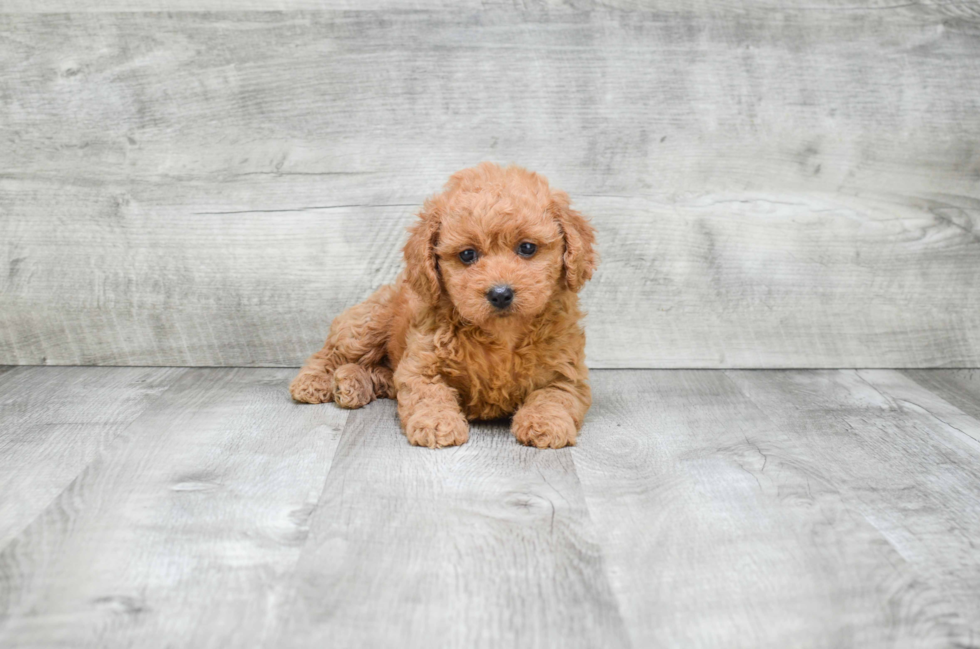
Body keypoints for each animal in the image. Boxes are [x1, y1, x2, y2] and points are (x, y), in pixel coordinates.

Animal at [288, 162, 596, 448]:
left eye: (527, 248)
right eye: (467, 254)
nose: (500, 294)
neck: (502, 334)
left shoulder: (567, 372)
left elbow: (553, 396)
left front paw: (545, 423)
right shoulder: (422, 364)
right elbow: (429, 393)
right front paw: (437, 424)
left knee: (379, 373)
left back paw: (350, 383)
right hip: (367, 326)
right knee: (331, 353)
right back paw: (313, 382)